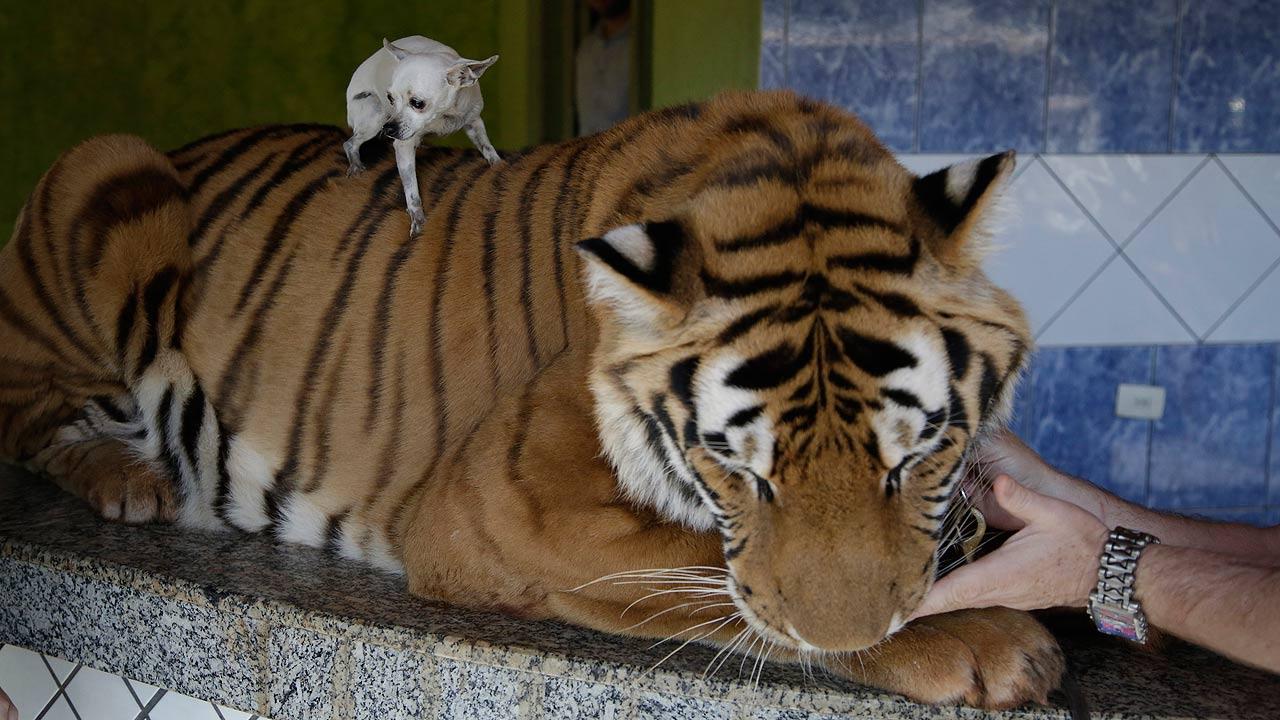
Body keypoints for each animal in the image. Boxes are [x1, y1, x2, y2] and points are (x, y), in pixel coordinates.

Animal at [0, 89, 1063, 709]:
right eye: (738, 467)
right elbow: (716, 577)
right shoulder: (503, 507)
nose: (855, 635)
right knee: (27, 417)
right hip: (110, 160)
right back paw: (130, 477)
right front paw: (984, 639)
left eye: (915, 454)